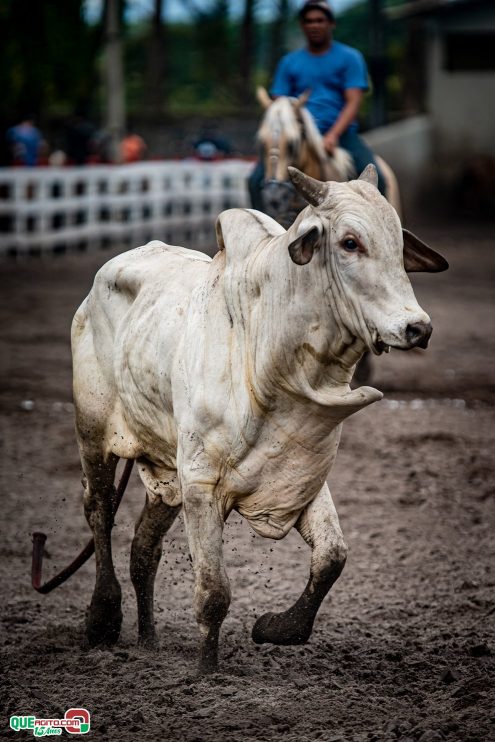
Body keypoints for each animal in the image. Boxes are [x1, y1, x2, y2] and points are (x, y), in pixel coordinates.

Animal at [72, 167, 450, 676]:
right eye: (350, 242)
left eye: (398, 242)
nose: (417, 328)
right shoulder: (201, 483)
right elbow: (213, 592)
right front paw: (207, 672)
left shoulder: (299, 474)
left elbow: (332, 556)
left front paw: (276, 628)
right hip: (94, 435)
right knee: (100, 509)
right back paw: (102, 618)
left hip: (166, 471)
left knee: (144, 548)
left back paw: (148, 641)